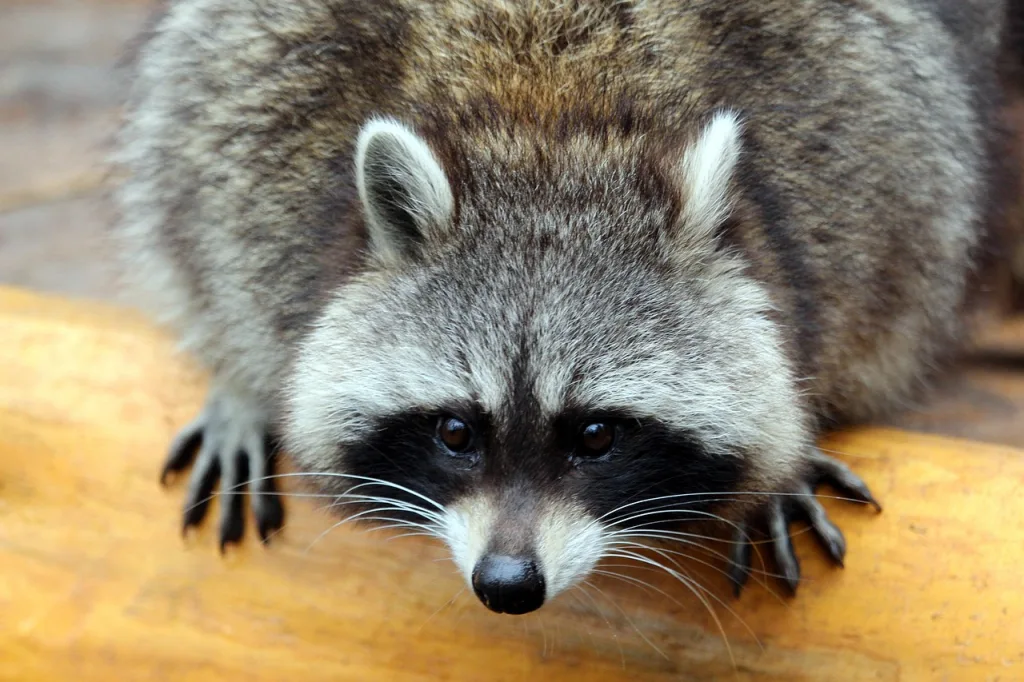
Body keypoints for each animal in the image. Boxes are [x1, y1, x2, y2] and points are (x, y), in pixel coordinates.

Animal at [111, 0, 1015, 615]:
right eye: (456, 431)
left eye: (596, 435)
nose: (508, 584)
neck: (547, 128)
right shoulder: (275, 149)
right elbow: (225, 226)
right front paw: (247, 372)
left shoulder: (862, 153)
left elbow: (881, 271)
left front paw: (790, 442)